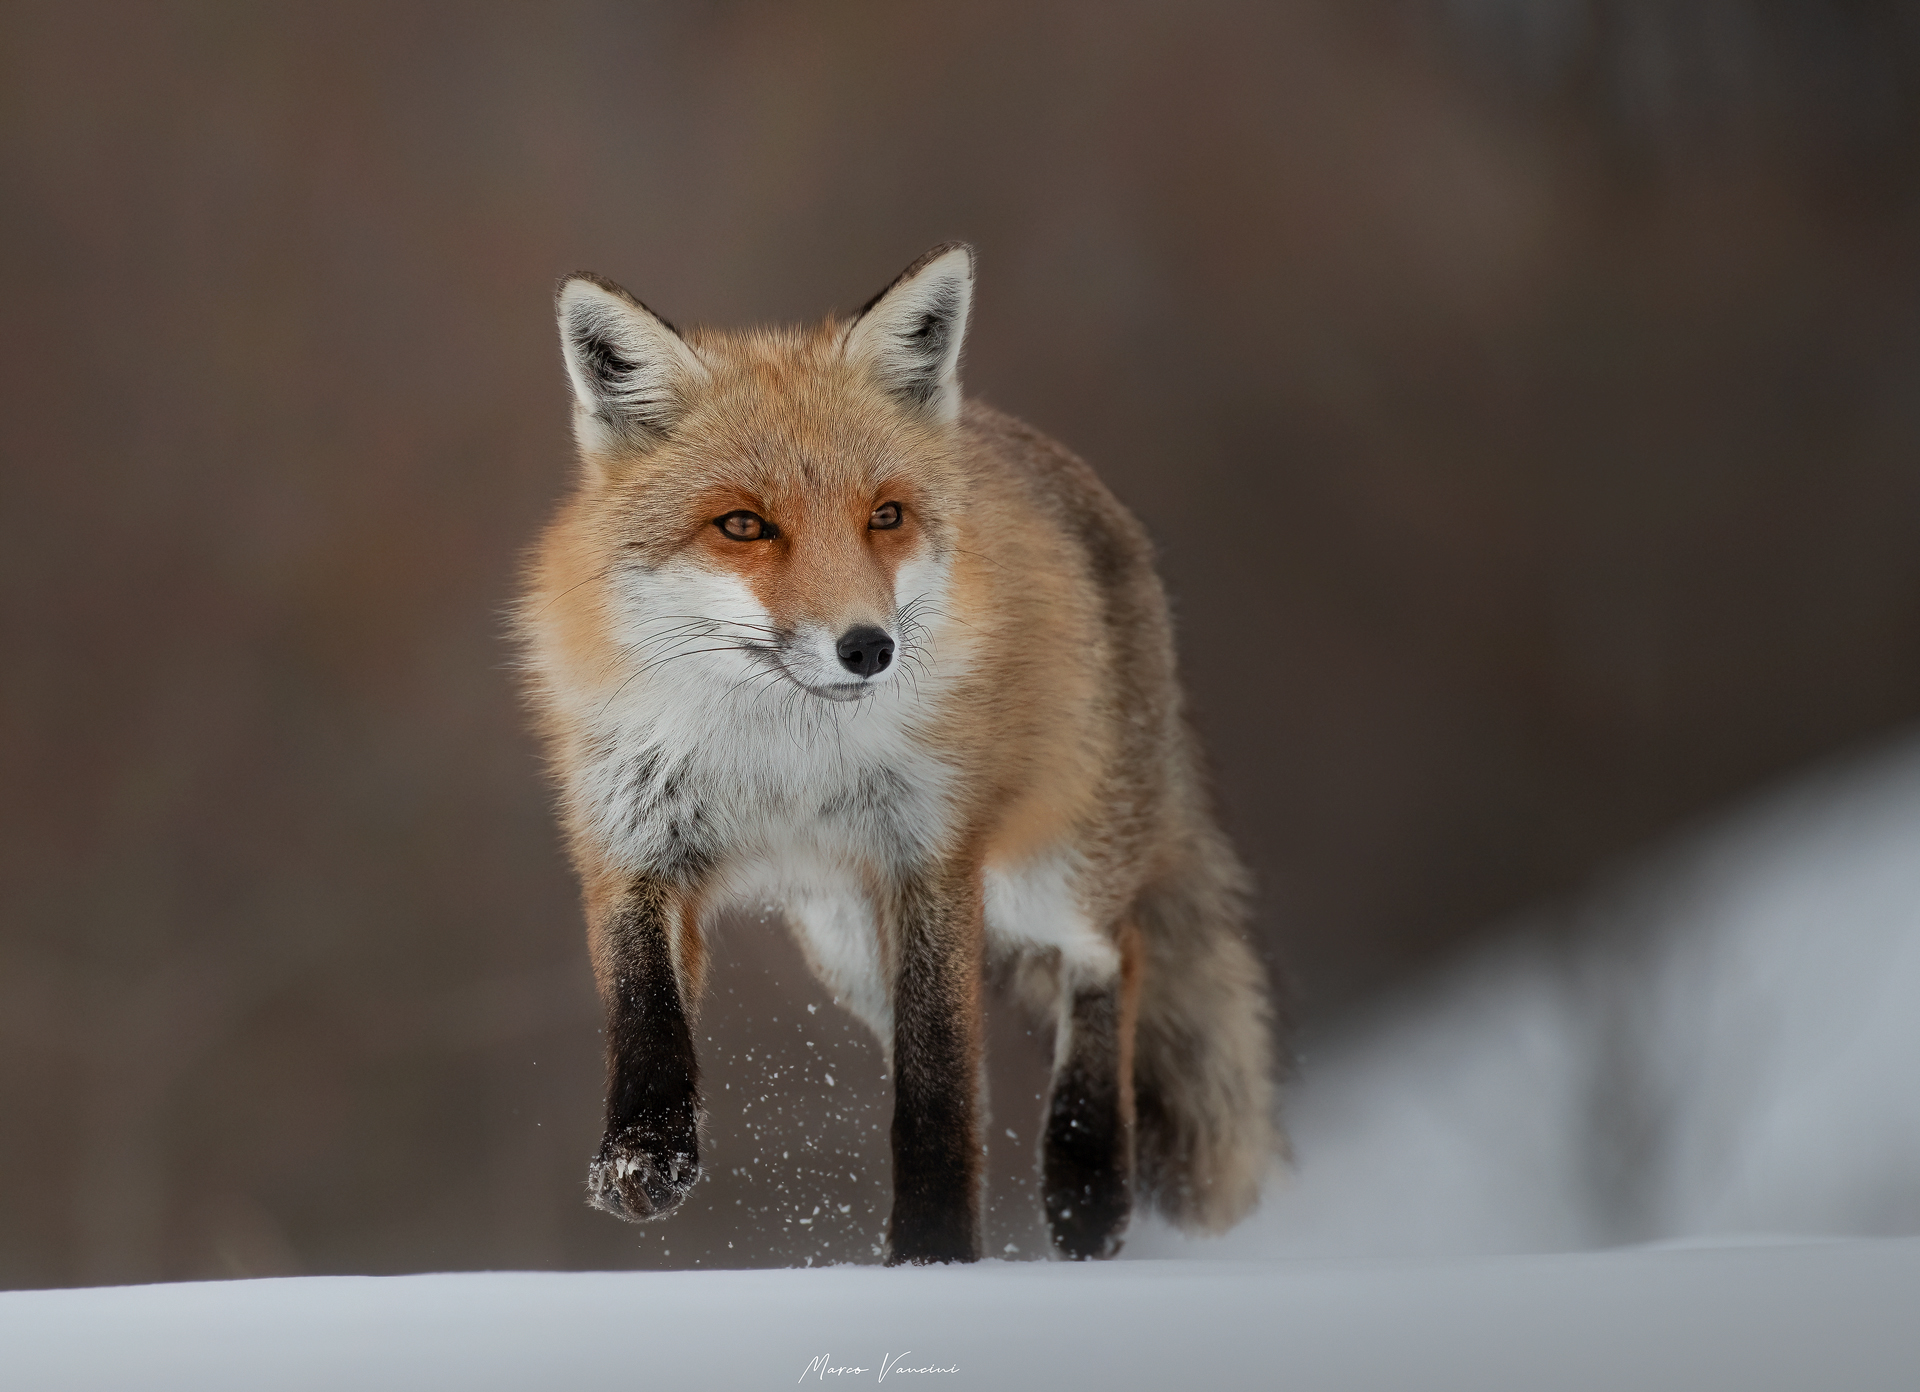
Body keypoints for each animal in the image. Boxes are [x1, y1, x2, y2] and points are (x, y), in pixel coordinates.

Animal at [516, 243, 1282, 1264]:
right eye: (743, 525)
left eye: (884, 516)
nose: (867, 647)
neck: (781, 761)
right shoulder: (633, 840)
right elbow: (646, 1014)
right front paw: (645, 1157)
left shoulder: (930, 856)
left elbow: (934, 1088)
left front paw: (933, 1256)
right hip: (845, 940)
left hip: (1044, 876)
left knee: (1113, 954)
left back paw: (1086, 1187)